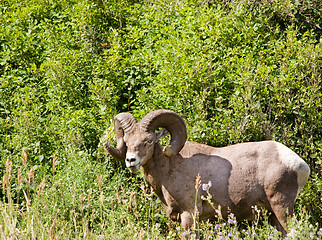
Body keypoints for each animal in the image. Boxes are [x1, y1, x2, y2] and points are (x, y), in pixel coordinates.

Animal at [103, 109, 310, 235]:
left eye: (148, 141)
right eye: (127, 141)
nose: (131, 160)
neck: (169, 169)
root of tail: (300, 165)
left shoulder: (189, 214)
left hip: (281, 207)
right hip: (274, 215)